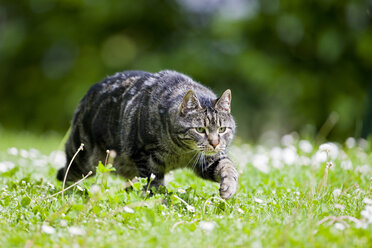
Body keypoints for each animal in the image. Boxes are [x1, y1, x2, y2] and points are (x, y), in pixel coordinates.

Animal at [57, 70, 238, 200]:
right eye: (200, 129)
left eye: (222, 129)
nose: (214, 143)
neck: (181, 152)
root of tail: (89, 92)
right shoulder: (145, 156)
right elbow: (154, 184)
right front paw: (159, 202)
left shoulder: (208, 160)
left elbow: (228, 167)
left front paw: (229, 187)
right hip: (83, 158)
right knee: (65, 174)